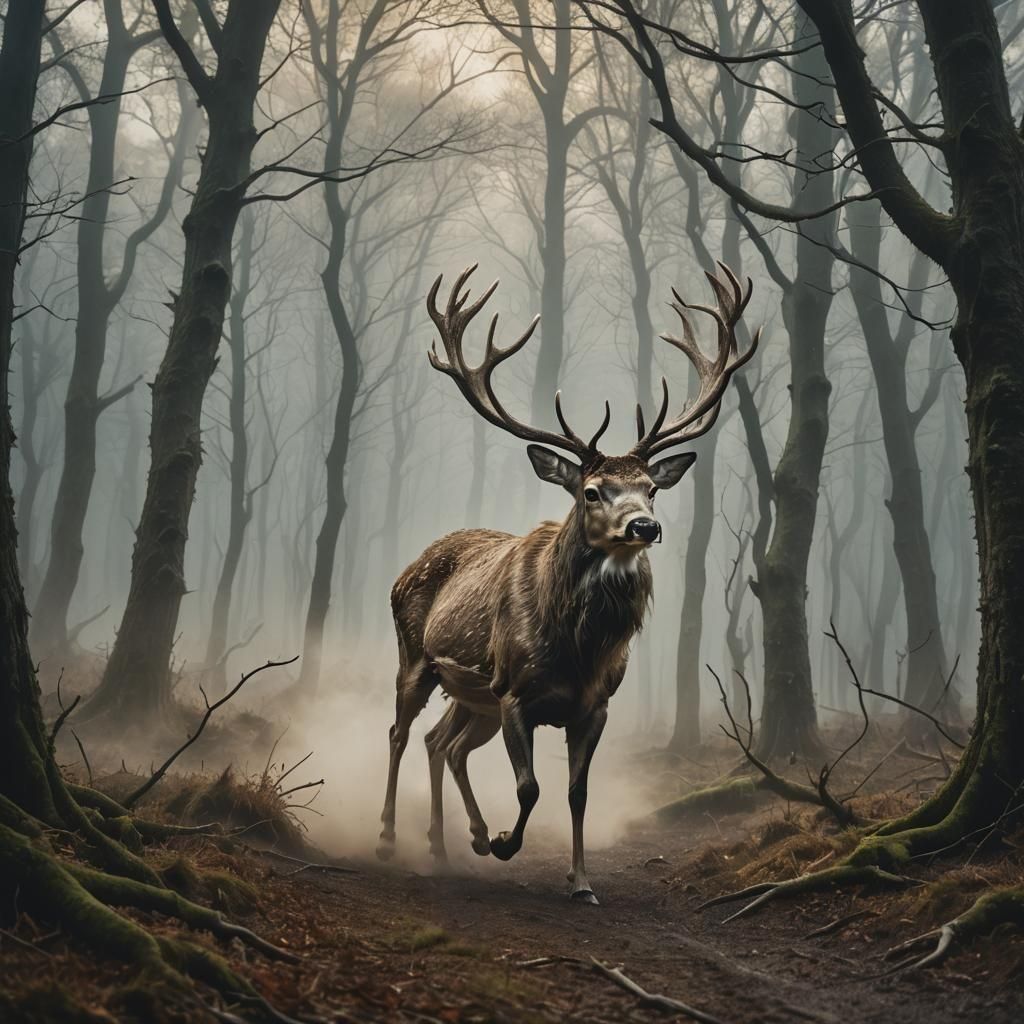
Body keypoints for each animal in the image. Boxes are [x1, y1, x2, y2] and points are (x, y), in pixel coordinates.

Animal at [377, 263, 760, 903]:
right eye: (591, 490)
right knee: (400, 733)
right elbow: (529, 786)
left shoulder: (594, 704)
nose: (644, 526)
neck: (576, 650)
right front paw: (506, 842)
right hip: (416, 655)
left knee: (442, 743)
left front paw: (580, 881)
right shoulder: (513, 691)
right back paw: (389, 839)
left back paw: (450, 843)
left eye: (651, 489)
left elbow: (578, 792)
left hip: (472, 696)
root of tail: (409, 567)